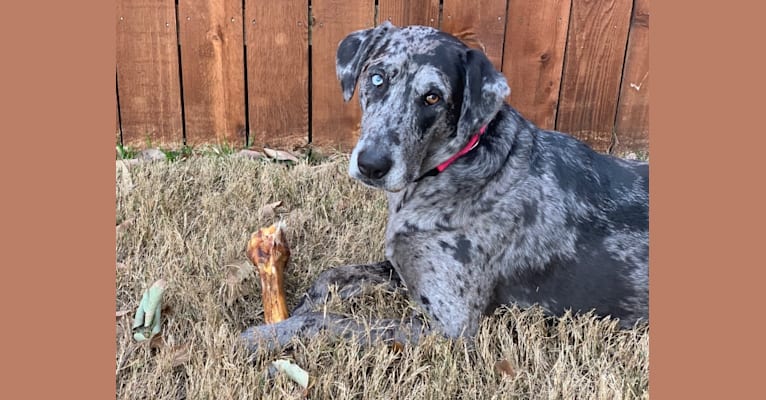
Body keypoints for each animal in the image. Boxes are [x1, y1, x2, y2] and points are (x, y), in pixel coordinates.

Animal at [243, 23, 652, 352]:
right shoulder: (401, 266)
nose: (371, 165)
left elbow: (333, 322)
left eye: (433, 97)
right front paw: (296, 307)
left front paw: (270, 334)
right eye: (377, 78)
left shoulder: (449, 325)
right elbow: (332, 276)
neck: (454, 168)